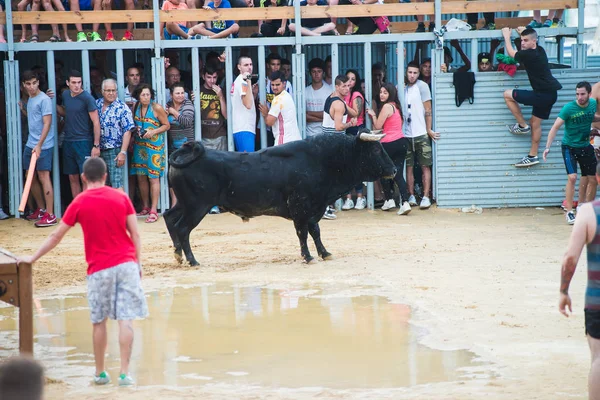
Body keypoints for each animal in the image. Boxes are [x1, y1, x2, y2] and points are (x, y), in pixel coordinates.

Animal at [164, 130, 398, 266]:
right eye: (376, 149)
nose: (394, 170)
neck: (322, 160)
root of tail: (187, 152)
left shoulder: (314, 208)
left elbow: (315, 231)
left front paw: (324, 253)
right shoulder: (300, 207)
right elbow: (302, 232)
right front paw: (307, 256)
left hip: (184, 204)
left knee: (169, 218)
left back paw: (178, 255)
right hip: (197, 206)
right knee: (183, 228)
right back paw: (192, 260)